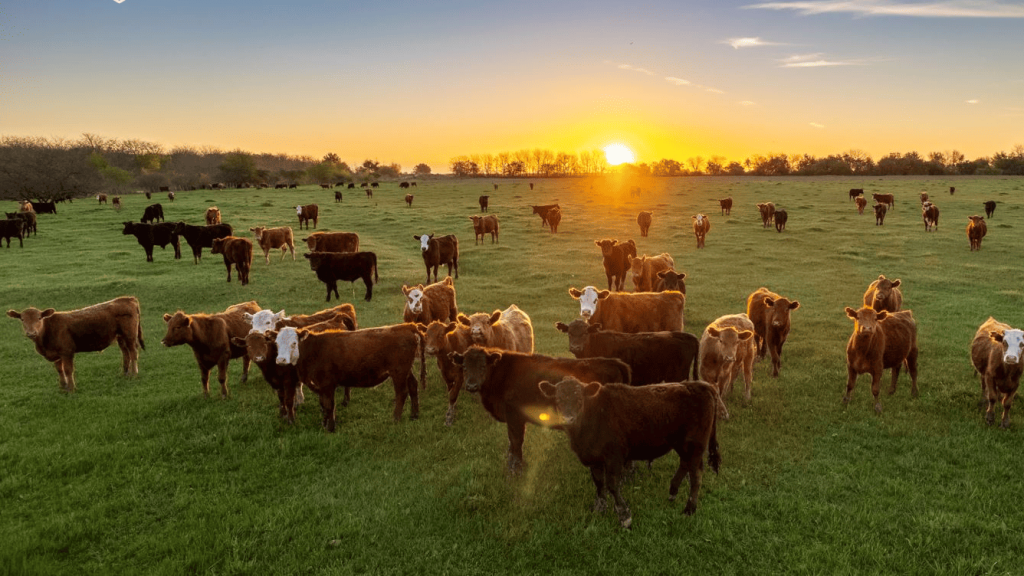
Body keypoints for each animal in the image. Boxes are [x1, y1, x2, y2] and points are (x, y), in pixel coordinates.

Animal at [7, 295, 144, 389]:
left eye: (39, 318)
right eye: (22, 319)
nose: (31, 332)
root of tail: (127, 298)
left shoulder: (67, 352)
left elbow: (68, 370)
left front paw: (71, 389)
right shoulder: (56, 354)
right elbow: (59, 370)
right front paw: (63, 387)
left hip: (130, 335)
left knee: (133, 353)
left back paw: (134, 374)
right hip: (121, 337)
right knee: (125, 353)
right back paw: (125, 374)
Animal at [272, 319, 423, 428]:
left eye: (293, 343)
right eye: (277, 344)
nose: (281, 360)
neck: (314, 350)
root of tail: (407, 326)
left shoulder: (327, 383)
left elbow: (329, 405)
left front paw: (330, 427)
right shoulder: (320, 385)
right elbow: (323, 404)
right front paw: (324, 423)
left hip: (399, 372)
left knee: (402, 393)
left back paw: (395, 419)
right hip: (406, 370)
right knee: (413, 386)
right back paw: (414, 415)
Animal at [450, 344, 630, 471]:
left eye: (483, 366)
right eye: (464, 367)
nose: (471, 385)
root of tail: (612, 362)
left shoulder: (515, 417)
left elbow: (516, 441)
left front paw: (515, 468)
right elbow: (512, 443)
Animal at [536, 377, 720, 524]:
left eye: (580, 400)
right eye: (557, 400)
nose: (568, 419)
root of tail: (698, 384)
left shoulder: (614, 456)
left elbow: (612, 484)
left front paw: (624, 515)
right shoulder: (594, 458)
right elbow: (599, 483)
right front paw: (599, 507)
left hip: (695, 444)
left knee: (696, 474)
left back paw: (689, 509)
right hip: (682, 444)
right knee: (685, 464)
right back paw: (673, 492)